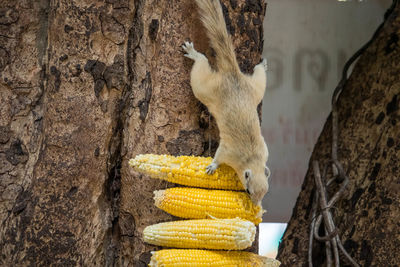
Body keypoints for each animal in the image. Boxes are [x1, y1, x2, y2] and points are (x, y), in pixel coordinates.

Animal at [183, 0, 270, 207]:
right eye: (248, 190)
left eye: (265, 192)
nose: (256, 205)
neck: (252, 158)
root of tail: (232, 73)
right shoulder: (228, 152)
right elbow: (218, 156)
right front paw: (212, 167)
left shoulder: (265, 150)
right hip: (203, 88)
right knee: (201, 63)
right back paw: (193, 53)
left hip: (255, 90)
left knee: (259, 76)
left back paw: (262, 65)